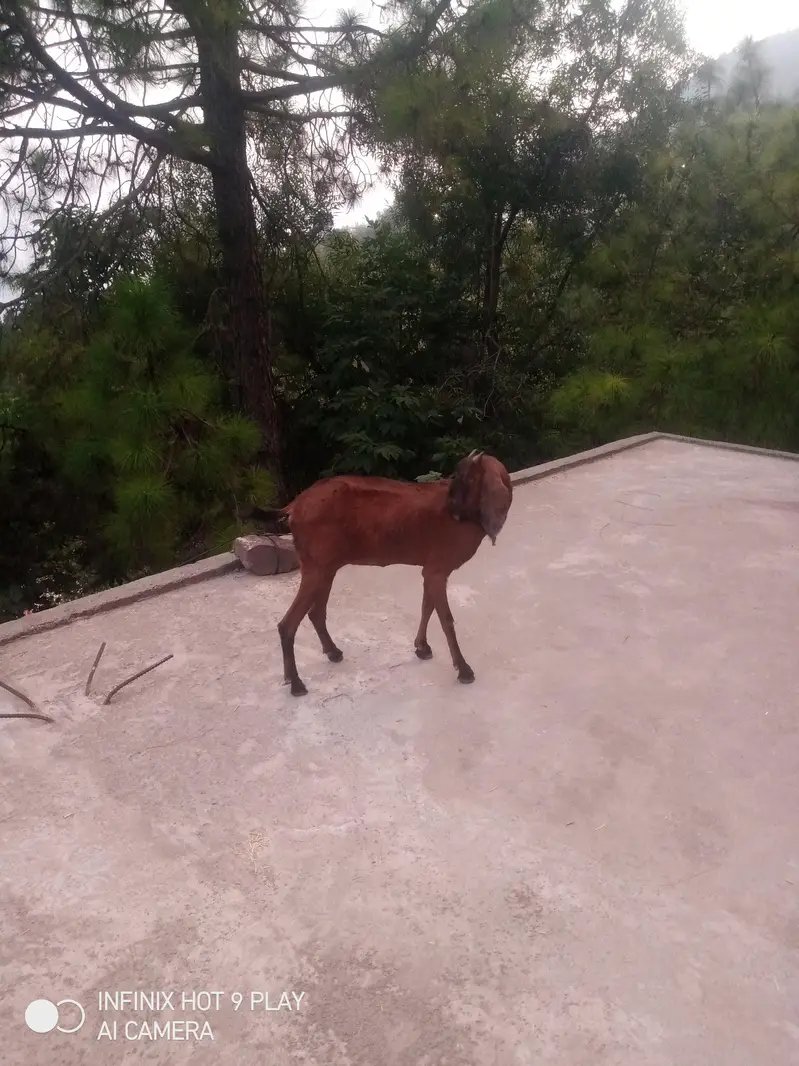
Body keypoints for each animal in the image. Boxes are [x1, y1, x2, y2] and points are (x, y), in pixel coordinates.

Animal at [251, 449, 513, 696]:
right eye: (459, 474)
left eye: (468, 477)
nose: (451, 509)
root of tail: (294, 506)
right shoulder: (438, 569)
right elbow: (446, 619)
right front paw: (464, 669)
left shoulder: (431, 570)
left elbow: (426, 606)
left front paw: (422, 647)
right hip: (316, 567)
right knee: (288, 624)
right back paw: (296, 683)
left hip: (326, 567)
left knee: (316, 612)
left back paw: (332, 652)